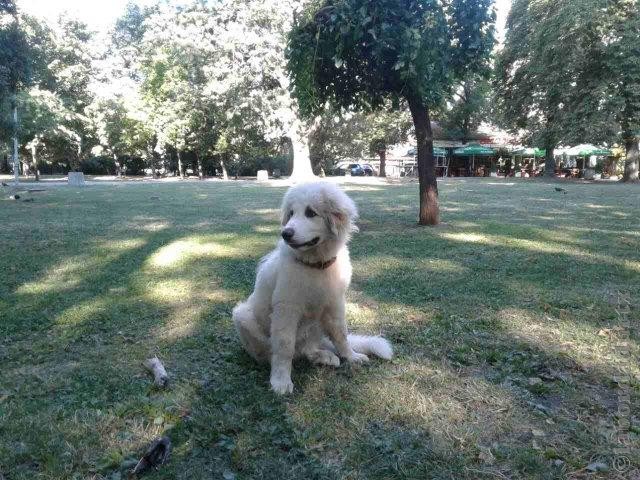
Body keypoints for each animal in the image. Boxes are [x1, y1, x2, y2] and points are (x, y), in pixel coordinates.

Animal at [232, 180, 392, 394]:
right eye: (291, 213)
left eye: (311, 213)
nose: (285, 233)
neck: (315, 265)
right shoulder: (286, 309)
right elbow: (284, 346)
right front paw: (281, 380)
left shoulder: (335, 304)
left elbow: (341, 334)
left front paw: (351, 356)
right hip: (243, 315)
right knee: (277, 351)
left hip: (316, 322)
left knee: (308, 349)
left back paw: (324, 356)